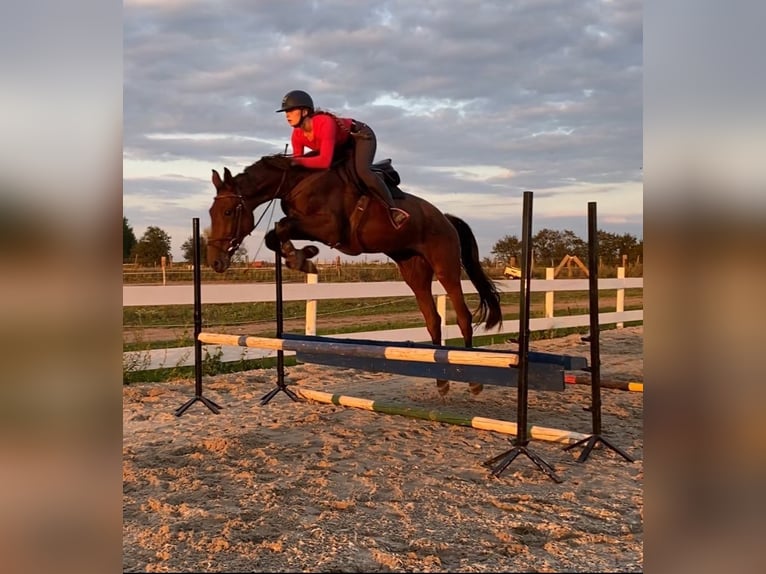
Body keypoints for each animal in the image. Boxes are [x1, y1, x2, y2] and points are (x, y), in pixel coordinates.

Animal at [207, 153, 504, 396]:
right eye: (211, 212)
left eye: (228, 211)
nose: (215, 261)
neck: (296, 182)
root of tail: (446, 218)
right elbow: (275, 233)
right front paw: (299, 256)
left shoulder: (329, 228)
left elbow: (281, 227)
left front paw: (303, 256)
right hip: (414, 272)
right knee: (433, 320)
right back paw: (442, 382)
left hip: (445, 267)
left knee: (463, 316)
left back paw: (473, 381)